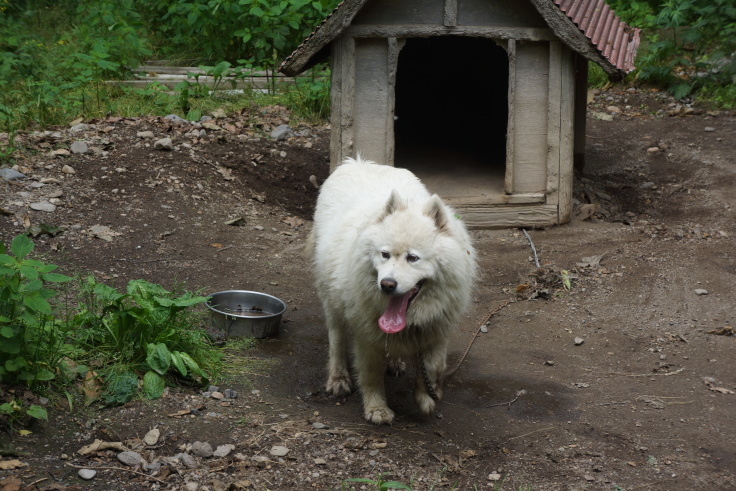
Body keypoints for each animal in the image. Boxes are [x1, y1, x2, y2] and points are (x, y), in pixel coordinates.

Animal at [310, 157, 478, 422]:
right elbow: (371, 374)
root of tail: (356, 161)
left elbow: (434, 366)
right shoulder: (366, 335)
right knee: (336, 339)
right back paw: (338, 378)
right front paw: (377, 408)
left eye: (413, 258)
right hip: (332, 299)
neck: (412, 319)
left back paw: (395, 362)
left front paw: (427, 397)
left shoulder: (437, 330)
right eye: (384, 254)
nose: (387, 284)